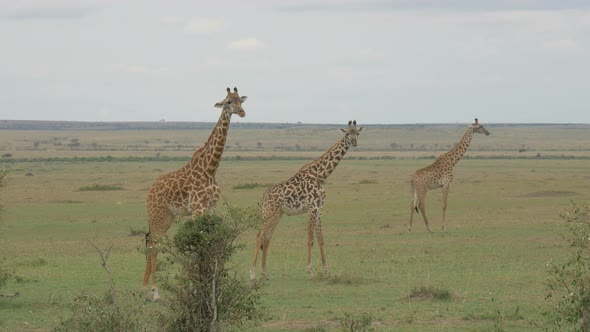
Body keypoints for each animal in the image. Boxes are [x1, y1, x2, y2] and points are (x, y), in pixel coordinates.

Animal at [143, 86, 247, 300]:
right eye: (228, 102)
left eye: (241, 100)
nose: (242, 112)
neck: (211, 169)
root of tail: (150, 191)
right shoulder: (197, 209)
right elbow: (197, 244)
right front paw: (196, 287)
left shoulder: (210, 208)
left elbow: (209, 241)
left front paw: (206, 285)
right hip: (156, 214)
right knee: (153, 245)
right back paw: (153, 292)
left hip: (169, 216)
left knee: (153, 243)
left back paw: (145, 290)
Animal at [251, 120, 366, 280]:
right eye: (347, 133)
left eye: (358, 133)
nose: (355, 142)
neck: (320, 176)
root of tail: (263, 197)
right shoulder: (311, 208)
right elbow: (310, 240)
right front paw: (310, 271)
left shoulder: (319, 209)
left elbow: (321, 240)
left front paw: (326, 271)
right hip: (268, 213)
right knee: (259, 237)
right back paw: (253, 274)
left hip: (276, 215)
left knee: (266, 239)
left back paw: (264, 273)